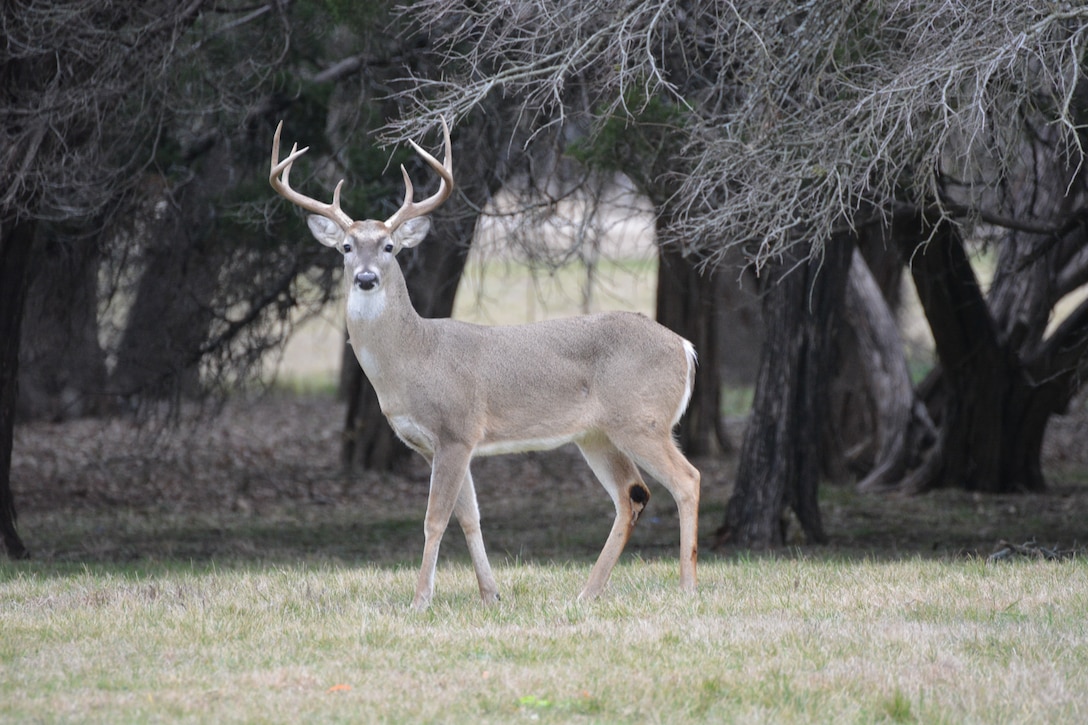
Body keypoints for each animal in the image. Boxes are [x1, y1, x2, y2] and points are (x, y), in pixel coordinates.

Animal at [267, 119, 700, 609]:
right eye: (345, 247)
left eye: (390, 246)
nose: (365, 277)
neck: (414, 358)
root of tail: (684, 346)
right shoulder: (436, 444)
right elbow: (469, 517)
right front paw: (490, 594)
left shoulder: (457, 429)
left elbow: (435, 519)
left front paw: (420, 600)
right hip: (597, 433)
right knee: (632, 495)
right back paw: (586, 593)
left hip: (643, 419)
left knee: (687, 480)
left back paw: (686, 586)